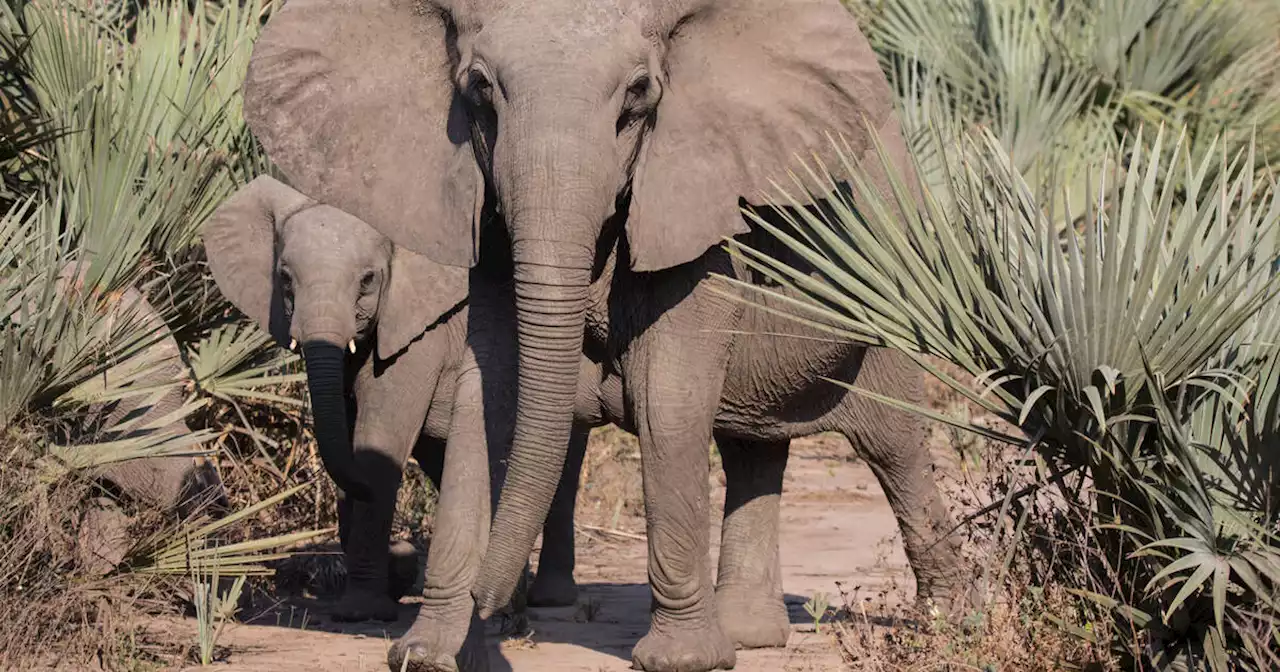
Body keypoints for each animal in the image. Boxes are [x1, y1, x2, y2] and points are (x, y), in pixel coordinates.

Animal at [199, 174, 586, 634]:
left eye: (368, 279)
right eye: (285, 279)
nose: (403, 553)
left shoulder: (420, 334)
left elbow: (379, 440)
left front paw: (362, 610)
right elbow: (346, 433)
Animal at [240, 2, 962, 665]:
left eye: (639, 95)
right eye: (479, 90)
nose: (496, 610)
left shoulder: (693, 208)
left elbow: (668, 402)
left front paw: (681, 661)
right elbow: (490, 396)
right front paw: (429, 655)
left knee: (897, 450)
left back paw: (945, 619)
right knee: (751, 450)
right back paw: (750, 637)